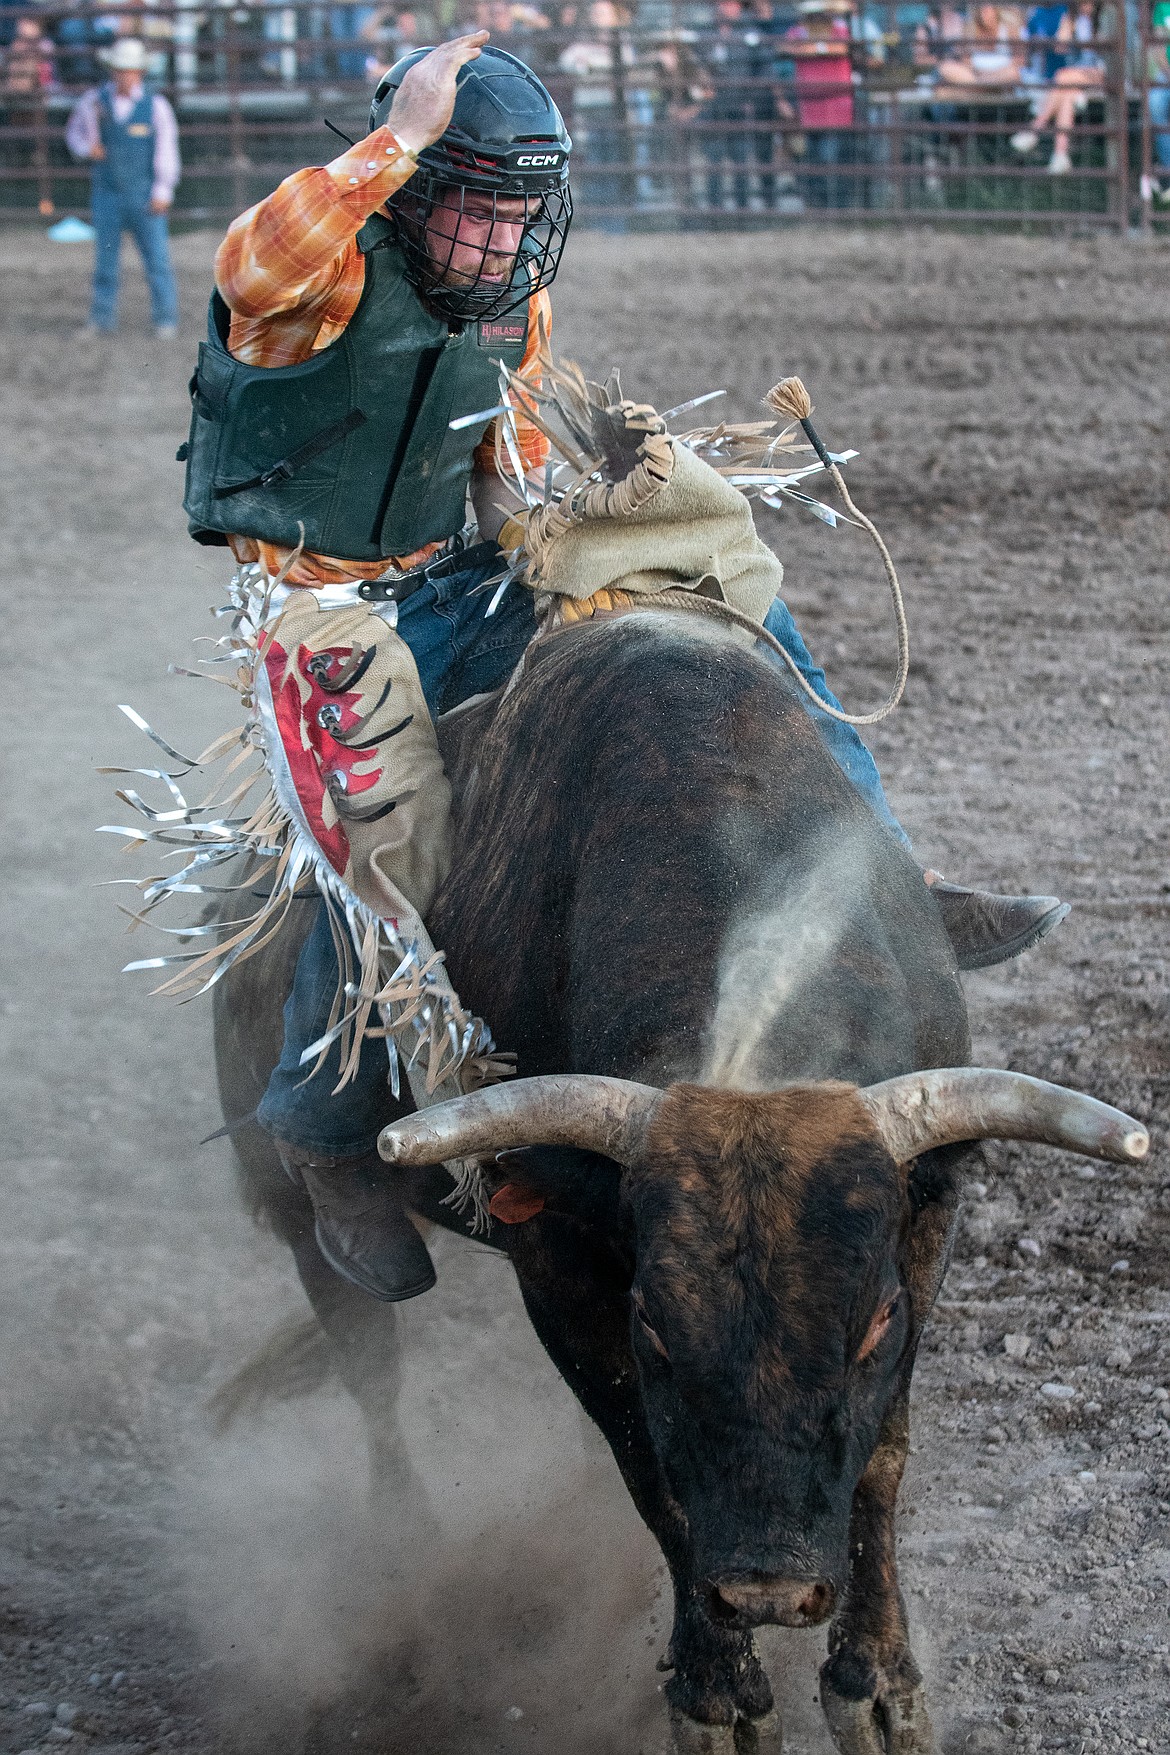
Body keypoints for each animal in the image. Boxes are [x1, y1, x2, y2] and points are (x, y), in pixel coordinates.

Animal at [213, 607, 1143, 1755]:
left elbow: (881, 1455)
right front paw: (717, 1694)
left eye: (875, 1320)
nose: (768, 1591)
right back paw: (401, 1559)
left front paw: (879, 1686)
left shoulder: (927, 1220)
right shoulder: (560, 1265)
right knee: (369, 1369)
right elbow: (651, 1471)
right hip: (298, 1218)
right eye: (655, 1316)